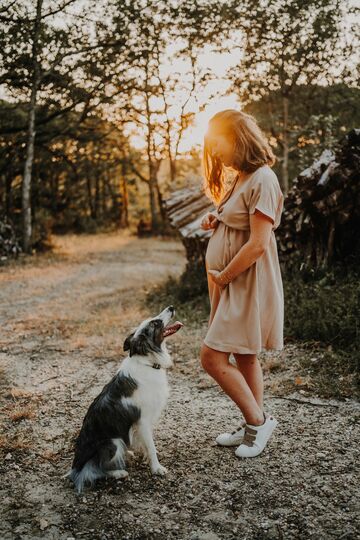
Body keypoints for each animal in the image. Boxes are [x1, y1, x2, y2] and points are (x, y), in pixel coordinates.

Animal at [63, 306, 183, 492]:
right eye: (155, 323)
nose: (171, 307)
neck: (148, 362)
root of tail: (75, 469)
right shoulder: (143, 419)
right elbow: (151, 447)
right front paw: (156, 468)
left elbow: (145, 443)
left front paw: (144, 455)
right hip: (113, 442)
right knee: (95, 470)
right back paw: (119, 472)